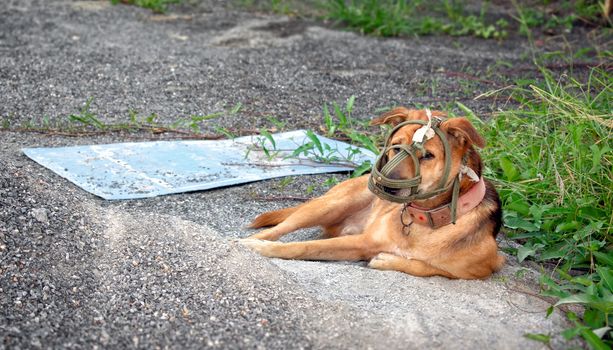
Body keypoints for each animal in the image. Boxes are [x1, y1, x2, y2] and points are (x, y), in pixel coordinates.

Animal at [239, 108, 502, 280]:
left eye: (428, 155)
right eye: (395, 146)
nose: (384, 186)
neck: (426, 219)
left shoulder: (486, 267)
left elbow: (430, 267)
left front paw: (389, 259)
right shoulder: (364, 241)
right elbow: (301, 247)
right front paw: (262, 249)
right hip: (329, 205)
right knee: (280, 229)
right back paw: (252, 241)